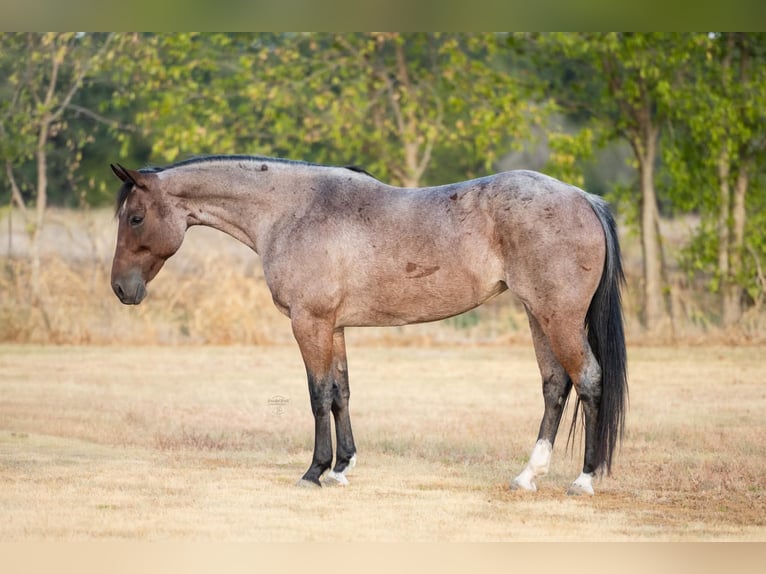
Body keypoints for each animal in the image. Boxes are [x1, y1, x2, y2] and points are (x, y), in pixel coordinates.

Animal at [109, 154, 627, 495]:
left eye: (135, 218)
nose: (120, 289)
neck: (292, 210)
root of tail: (584, 198)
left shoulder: (310, 323)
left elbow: (318, 395)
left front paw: (314, 472)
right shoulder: (334, 328)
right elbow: (341, 392)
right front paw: (342, 468)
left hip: (558, 318)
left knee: (588, 381)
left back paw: (583, 480)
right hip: (538, 316)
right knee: (555, 386)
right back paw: (527, 476)